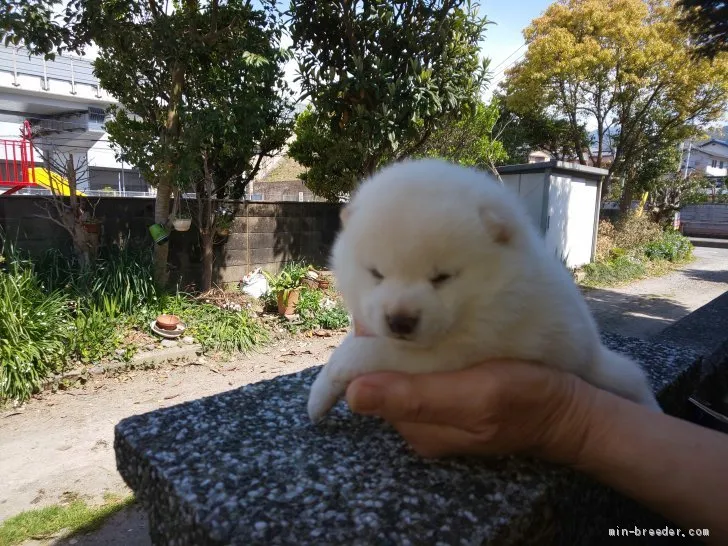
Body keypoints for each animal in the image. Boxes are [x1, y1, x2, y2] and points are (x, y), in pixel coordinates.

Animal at [308, 157, 660, 420]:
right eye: (376, 273)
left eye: (442, 277)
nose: (400, 321)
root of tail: (592, 357)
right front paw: (320, 395)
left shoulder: (458, 352)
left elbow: (366, 352)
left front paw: (327, 385)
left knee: (633, 378)